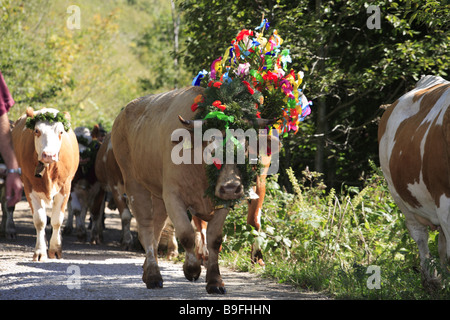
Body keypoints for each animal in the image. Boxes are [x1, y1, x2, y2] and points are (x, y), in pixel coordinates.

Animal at [12, 107, 79, 260]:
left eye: (61, 132)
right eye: (37, 130)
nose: (49, 155)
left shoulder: (65, 187)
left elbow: (57, 219)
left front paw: (55, 249)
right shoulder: (29, 187)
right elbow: (40, 220)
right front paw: (40, 251)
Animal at [111, 85, 274, 296]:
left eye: (245, 148)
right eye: (211, 148)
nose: (231, 188)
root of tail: (124, 113)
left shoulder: (220, 202)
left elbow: (214, 240)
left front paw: (215, 281)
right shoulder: (173, 196)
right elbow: (187, 234)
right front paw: (192, 269)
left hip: (158, 196)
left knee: (156, 229)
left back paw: (148, 271)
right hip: (134, 184)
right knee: (146, 229)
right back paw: (154, 276)